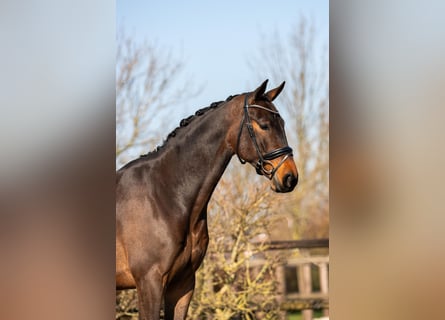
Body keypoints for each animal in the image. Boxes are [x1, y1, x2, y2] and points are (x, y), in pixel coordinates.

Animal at [116, 80, 298, 320]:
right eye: (264, 125)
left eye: (282, 123)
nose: (290, 177)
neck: (164, 195)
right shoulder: (149, 282)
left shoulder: (182, 284)